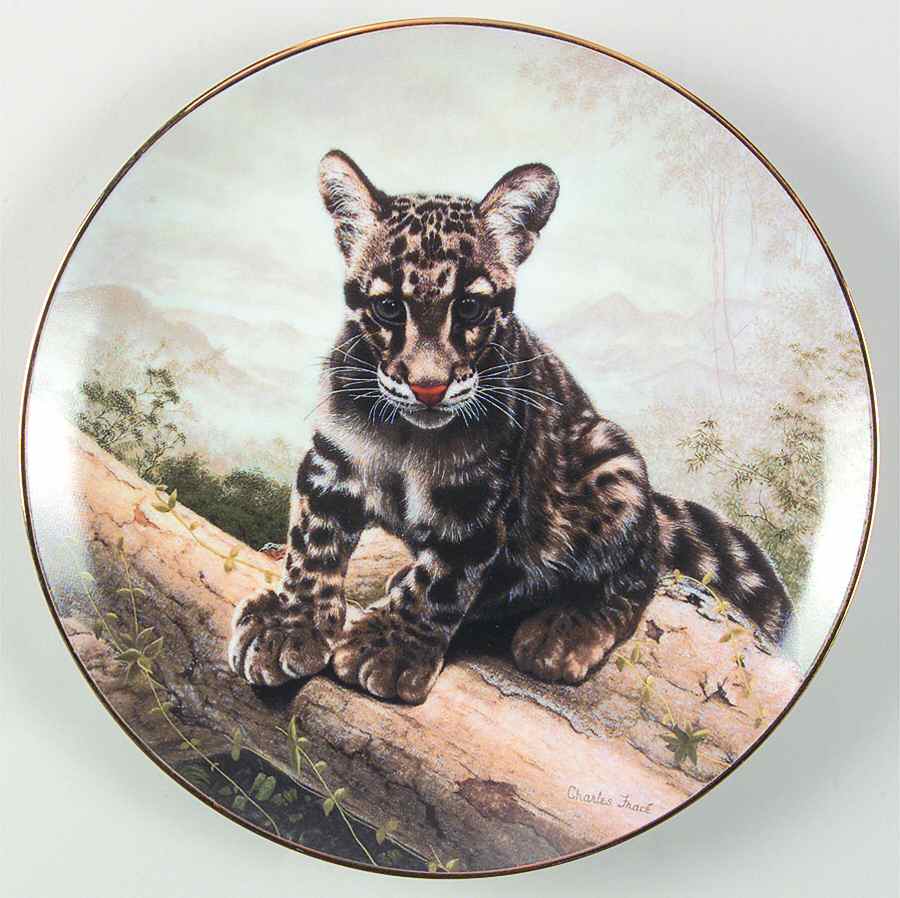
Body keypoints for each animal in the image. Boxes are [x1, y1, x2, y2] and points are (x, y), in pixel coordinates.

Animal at [228, 149, 792, 705]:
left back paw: (564, 633)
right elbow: (312, 544)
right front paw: (289, 624)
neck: (407, 438)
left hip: (613, 461)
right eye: (389, 307)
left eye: (470, 306)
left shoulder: (474, 501)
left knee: (637, 568)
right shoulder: (330, 465)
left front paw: (391, 647)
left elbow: (442, 580)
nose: (429, 387)